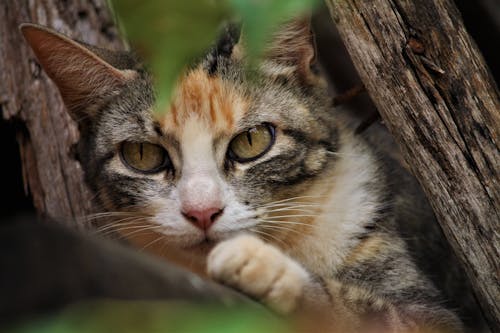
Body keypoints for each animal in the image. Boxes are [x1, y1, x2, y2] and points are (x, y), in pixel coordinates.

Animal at [20, 18, 480, 332]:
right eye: (142, 154)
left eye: (252, 141)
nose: (202, 212)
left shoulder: (422, 305)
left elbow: (371, 310)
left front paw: (262, 267)